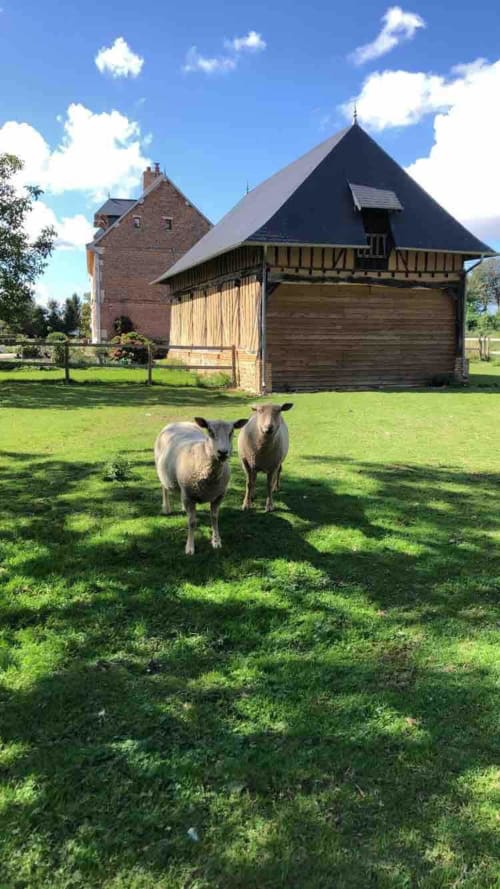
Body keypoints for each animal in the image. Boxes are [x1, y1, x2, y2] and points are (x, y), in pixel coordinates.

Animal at [154, 416, 248, 555]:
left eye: (231, 432)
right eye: (210, 431)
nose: (223, 452)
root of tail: (179, 422)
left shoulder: (219, 495)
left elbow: (214, 517)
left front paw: (216, 541)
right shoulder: (189, 496)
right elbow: (192, 522)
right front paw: (190, 547)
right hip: (161, 469)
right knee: (164, 488)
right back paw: (166, 508)